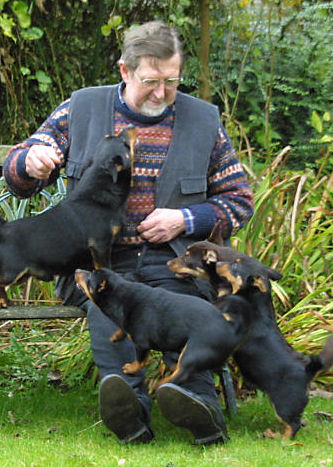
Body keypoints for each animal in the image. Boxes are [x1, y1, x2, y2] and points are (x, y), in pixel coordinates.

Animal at [0, 126, 136, 308]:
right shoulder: (100, 245)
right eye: (124, 143)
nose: (130, 127)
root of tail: (3, 230)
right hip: (12, 271)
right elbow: (104, 267)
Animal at [74, 266, 252, 388]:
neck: (120, 296)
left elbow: (140, 361)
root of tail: (231, 329)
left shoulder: (142, 345)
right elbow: (123, 329)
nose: (77, 269)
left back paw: (160, 384)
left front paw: (131, 369)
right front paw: (117, 336)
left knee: (181, 375)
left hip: (193, 352)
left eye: (89, 277)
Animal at [167, 222, 332, 438]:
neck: (251, 295)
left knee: (293, 424)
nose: (168, 262)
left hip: (284, 403)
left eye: (187, 257)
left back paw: (279, 438)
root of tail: (308, 369)